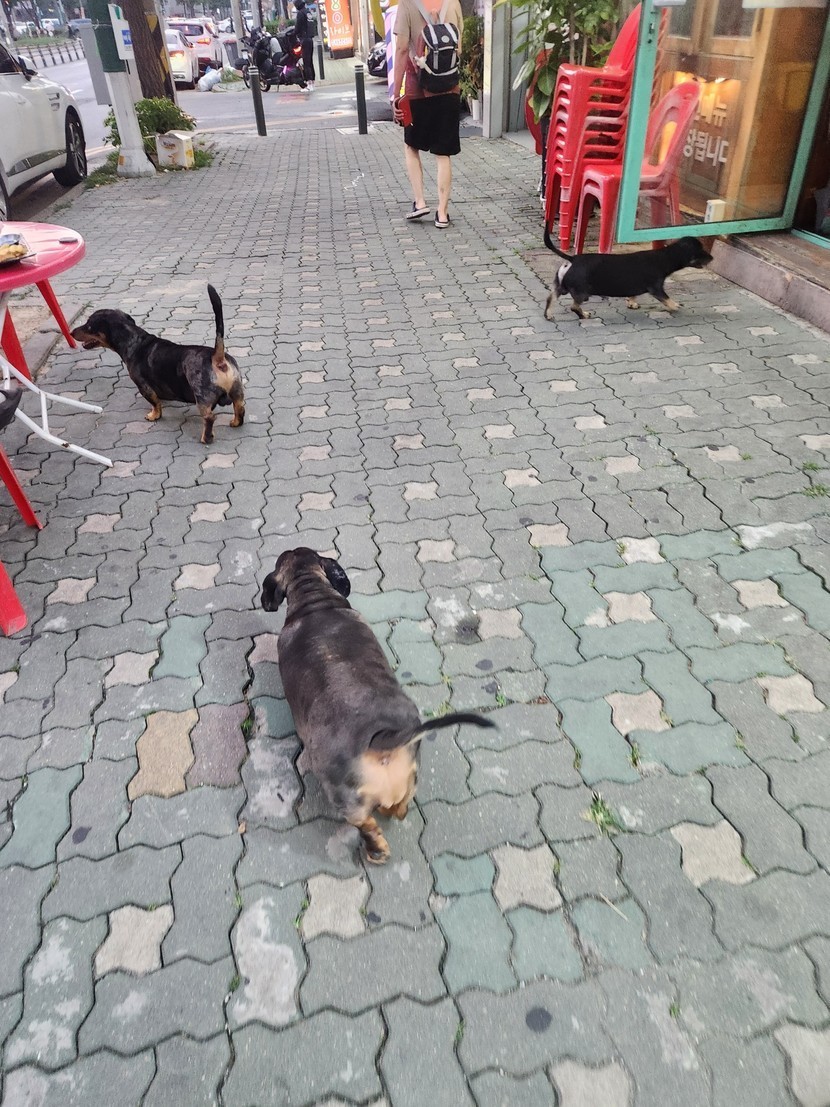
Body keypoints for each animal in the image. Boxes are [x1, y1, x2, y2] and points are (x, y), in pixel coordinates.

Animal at [71, 285, 245, 444]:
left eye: (89, 325)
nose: (72, 332)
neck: (135, 341)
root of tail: (217, 357)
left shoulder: (143, 386)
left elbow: (155, 403)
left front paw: (154, 415)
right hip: (237, 391)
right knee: (240, 408)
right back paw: (236, 422)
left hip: (201, 397)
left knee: (209, 418)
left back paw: (206, 438)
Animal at [261, 548, 496, 863]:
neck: (314, 603)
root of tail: (380, 735)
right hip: (410, 774)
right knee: (400, 805)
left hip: (346, 799)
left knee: (366, 823)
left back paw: (375, 851)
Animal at [543, 227, 713, 320]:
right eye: (701, 251)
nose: (712, 257)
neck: (664, 257)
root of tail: (572, 259)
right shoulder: (656, 288)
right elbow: (666, 299)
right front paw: (675, 305)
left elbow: (633, 294)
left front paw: (632, 303)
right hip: (582, 292)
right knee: (573, 306)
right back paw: (584, 315)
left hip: (561, 287)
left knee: (551, 298)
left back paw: (549, 314)